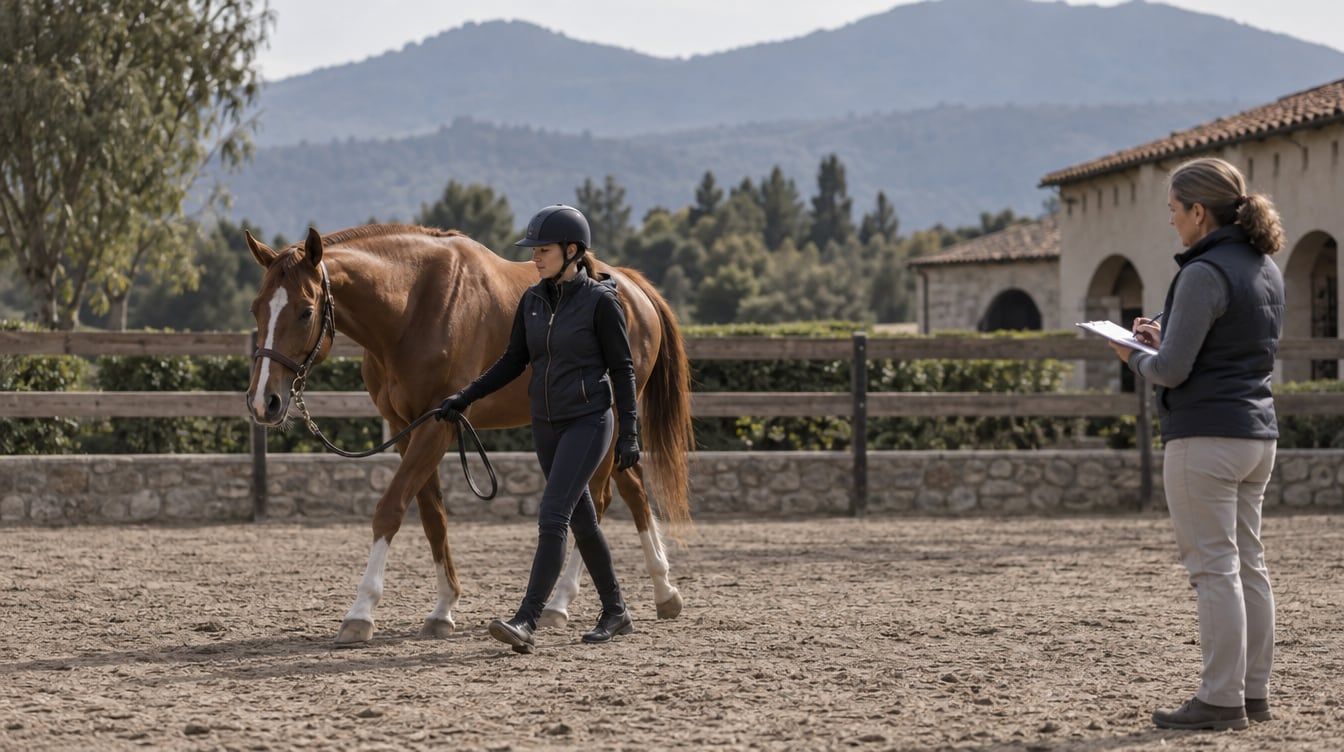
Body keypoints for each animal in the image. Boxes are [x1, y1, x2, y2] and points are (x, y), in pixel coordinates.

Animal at [243, 224, 694, 645]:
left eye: (305, 311)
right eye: (256, 309)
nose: (264, 401)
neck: (411, 307)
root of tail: (633, 288)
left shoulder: (437, 424)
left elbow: (390, 509)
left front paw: (360, 613)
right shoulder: (406, 428)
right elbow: (432, 516)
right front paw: (443, 609)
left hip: (611, 419)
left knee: (598, 501)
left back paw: (560, 603)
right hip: (613, 434)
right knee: (632, 489)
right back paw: (665, 591)